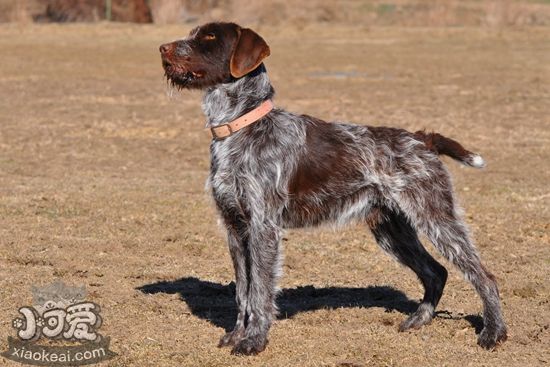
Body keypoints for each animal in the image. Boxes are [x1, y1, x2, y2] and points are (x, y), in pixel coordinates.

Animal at [158, 21, 508, 356]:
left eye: (210, 38)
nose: (162, 47)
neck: (239, 127)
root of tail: (421, 138)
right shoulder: (235, 227)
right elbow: (242, 291)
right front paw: (236, 335)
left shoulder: (262, 227)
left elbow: (258, 291)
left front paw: (253, 341)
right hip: (392, 231)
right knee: (436, 272)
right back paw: (419, 320)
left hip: (435, 218)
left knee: (484, 276)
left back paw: (494, 333)